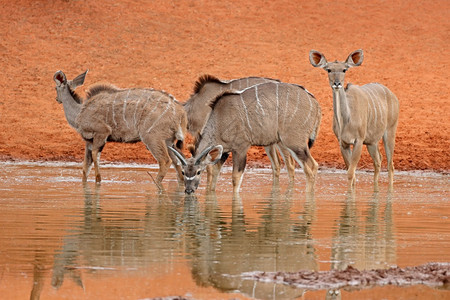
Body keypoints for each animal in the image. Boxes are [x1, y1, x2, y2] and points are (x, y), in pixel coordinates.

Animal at [52, 70, 186, 185]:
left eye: (55, 87)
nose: (57, 99)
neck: (79, 111)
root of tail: (179, 111)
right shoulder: (89, 142)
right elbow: (86, 167)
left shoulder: (102, 133)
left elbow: (95, 157)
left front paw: (98, 180)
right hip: (168, 142)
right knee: (177, 163)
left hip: (152, 138)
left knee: (165, 161)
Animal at [169, 81, 320, 195]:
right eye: (183, 172)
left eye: (199, 171)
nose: (188, 190)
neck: (220, 119)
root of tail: (314, 102)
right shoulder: (225, 151)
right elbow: (215, 173)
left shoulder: (241, 148)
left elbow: (235, 177)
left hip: (294, 143)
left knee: (311, 166)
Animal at [310, 50, 400, 189]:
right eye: (329, 69)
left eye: (344, 69)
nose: (337, 83)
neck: (346, 120)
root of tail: (392, 95)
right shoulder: (343, 143)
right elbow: (351, 174)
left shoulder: (358, 141)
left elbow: (350, 173)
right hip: (371, 142)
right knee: (378, 161)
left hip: (390, 132)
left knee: (390, 165)